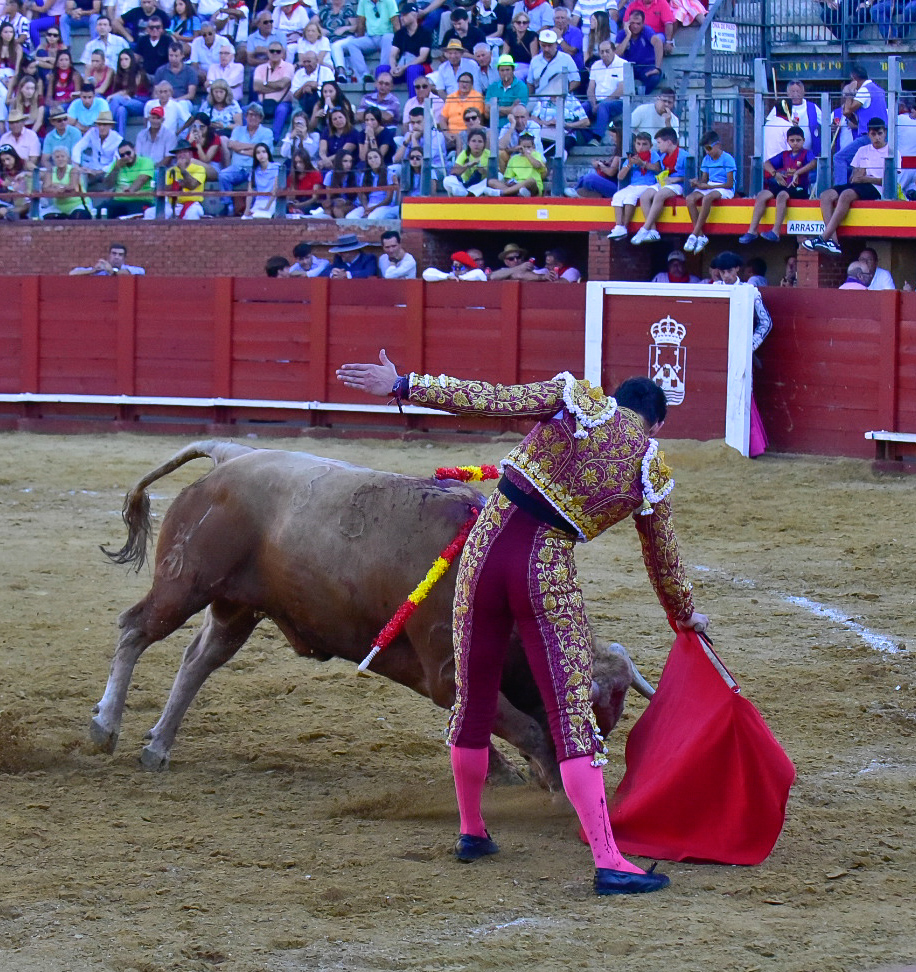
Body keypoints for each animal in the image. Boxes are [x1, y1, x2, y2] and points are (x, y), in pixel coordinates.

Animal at [92, 441, 654, 788]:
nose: (582, 766)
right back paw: (105, 726)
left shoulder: (437, 676)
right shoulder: (449, 671)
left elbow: (472, 722)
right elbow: (519, 726)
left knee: (197, 660)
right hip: (184, 584)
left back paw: (158, 746)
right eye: (594, 708)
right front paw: (546, 781)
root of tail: (234, 456)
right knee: (135, 629)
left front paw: (502, 773)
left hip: (236, 608)